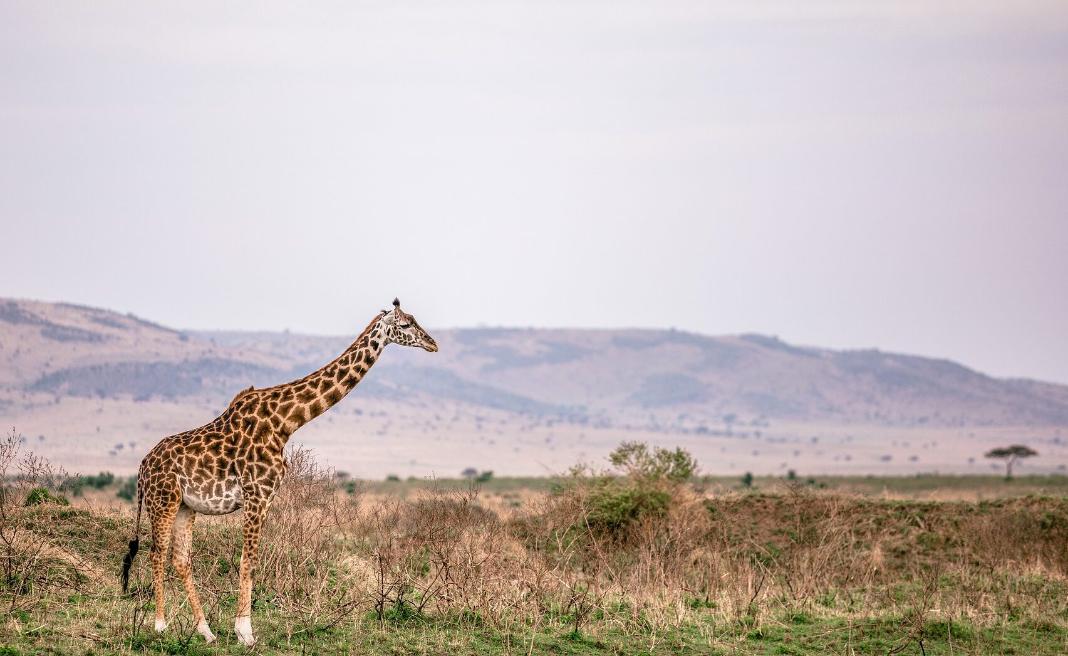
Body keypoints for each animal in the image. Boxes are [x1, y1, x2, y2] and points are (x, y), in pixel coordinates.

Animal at [118, 301, 433, 649]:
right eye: (405, 325)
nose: (432, 343)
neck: (286, 421)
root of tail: (142, 467)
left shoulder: (263, 497)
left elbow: (248, 559)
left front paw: (237, 629)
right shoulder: (257, 494)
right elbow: (248, 560)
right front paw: (245, 632)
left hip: (186, 506)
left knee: (180, 559)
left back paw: (205, 631)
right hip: (163, 501)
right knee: (156, 553)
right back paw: (160, 626)